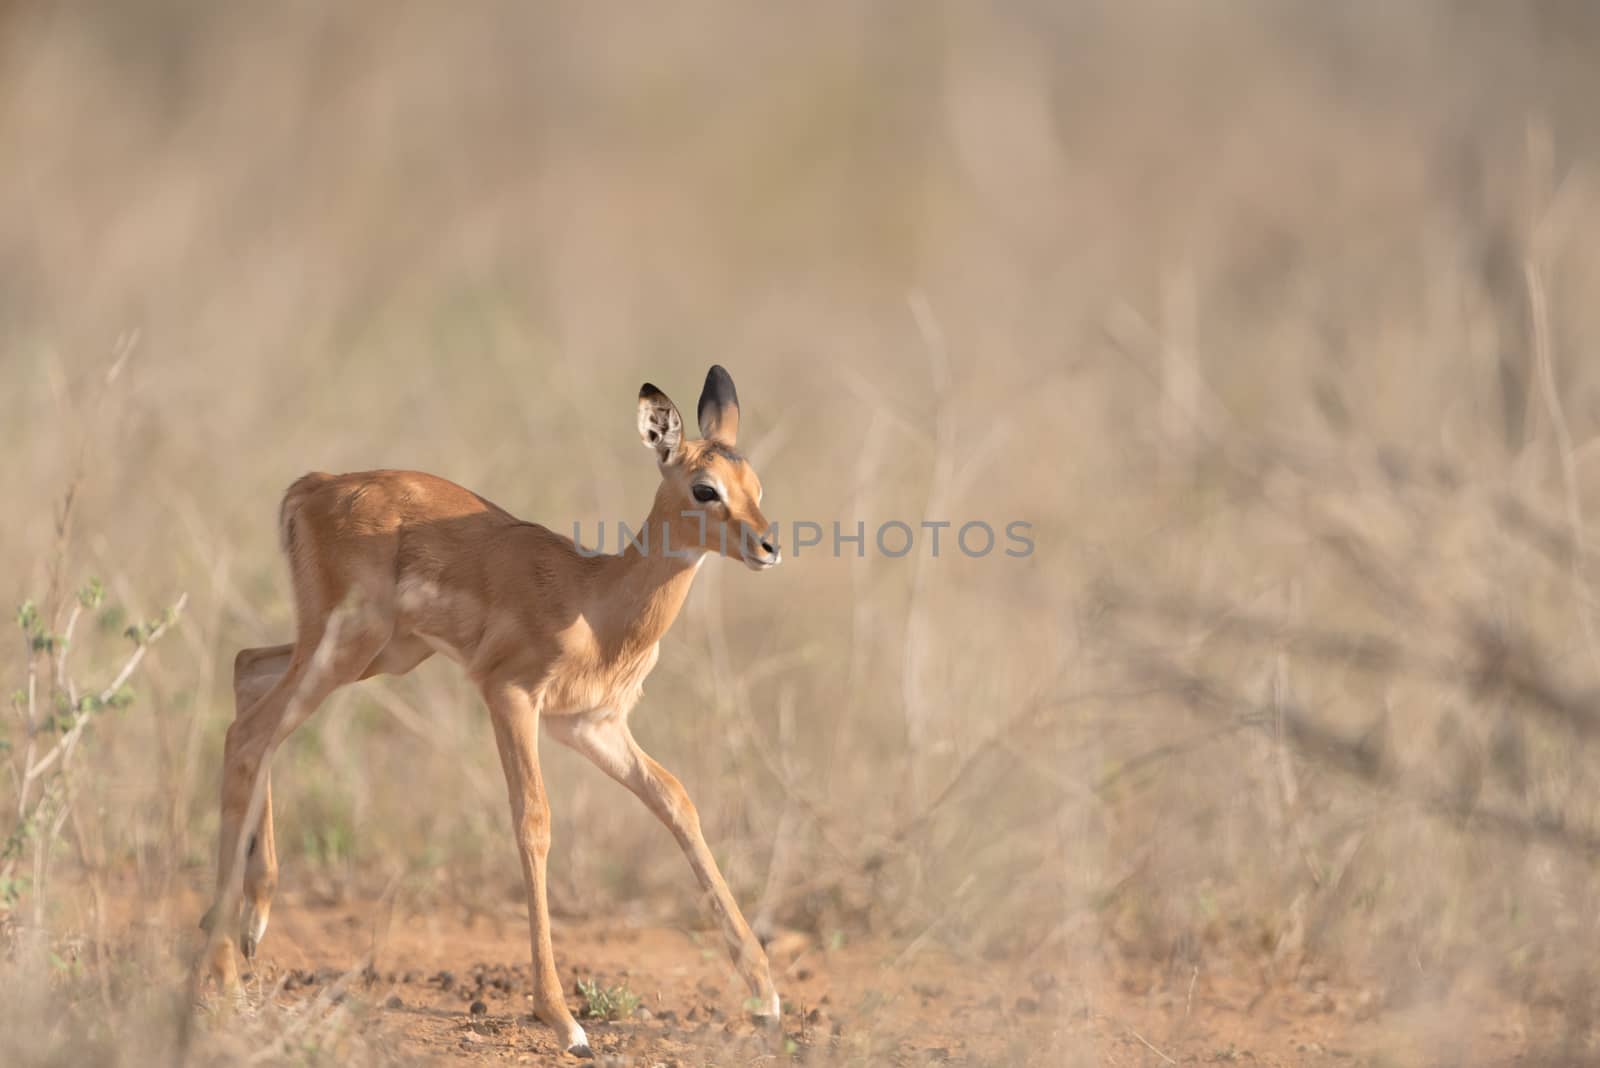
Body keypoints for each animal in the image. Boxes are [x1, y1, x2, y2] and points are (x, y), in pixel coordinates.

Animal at [206, 369, 780, 1061]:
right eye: (704, 488)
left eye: (754, 484)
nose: (770, 546)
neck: (596, 600)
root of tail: (312, 486)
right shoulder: (509, 695)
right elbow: (534, 822)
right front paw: (563, 1019)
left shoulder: (591, 726)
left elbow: (675, 800)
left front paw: (767, 996)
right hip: (347, 650)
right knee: (248, 733)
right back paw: (226, 976)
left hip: (378, 655)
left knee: (248, 672)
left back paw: (253, 921)